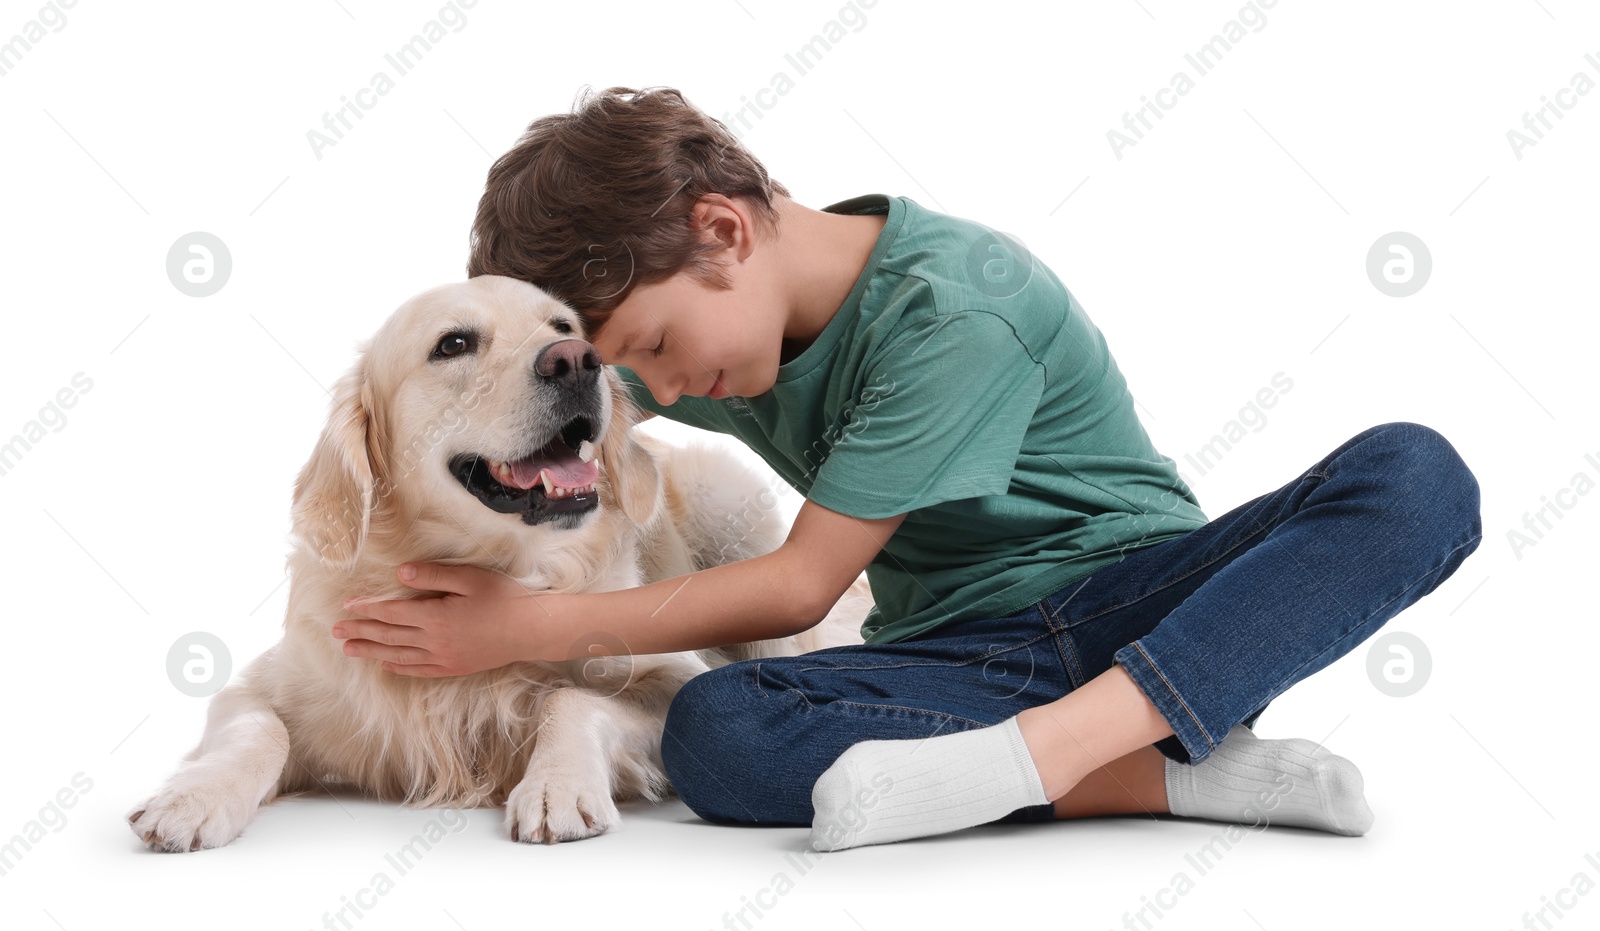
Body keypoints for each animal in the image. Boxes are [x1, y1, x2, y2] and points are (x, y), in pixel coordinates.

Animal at [126, 273, 876, 851]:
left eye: (563, 324)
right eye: (453, 344)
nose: (577, 359)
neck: (498, 569)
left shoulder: (671, 677)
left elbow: (574, 699)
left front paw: (555, 785)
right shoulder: (267, 684)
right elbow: (256, 730)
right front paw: (193, 797)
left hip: (732, 497)